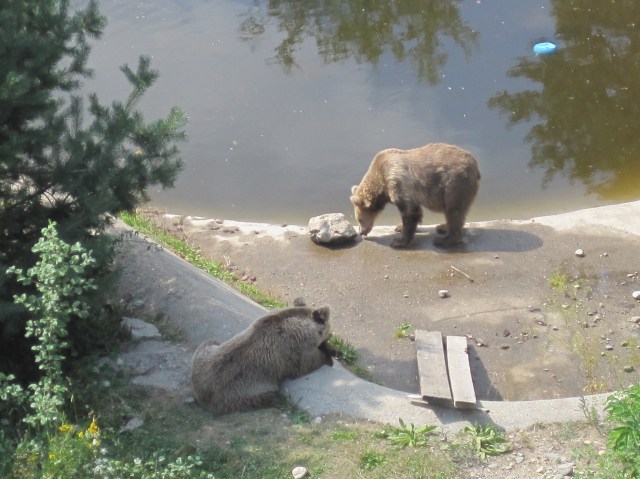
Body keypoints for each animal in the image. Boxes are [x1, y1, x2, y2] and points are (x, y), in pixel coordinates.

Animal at [190, 298, 335, 414]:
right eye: (329, 328)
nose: (330, 335)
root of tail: (201, 394)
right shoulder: (292, 349)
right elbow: (305, 364)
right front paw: (328, 356)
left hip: (205, 353)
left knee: (210, 341)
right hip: (242, 391)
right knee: (267, 396)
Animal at [350, 142, 480, 248]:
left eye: (359, 219)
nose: (361, 232)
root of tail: (475, 164)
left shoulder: (398, 182)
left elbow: (410, 212)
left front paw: (399, 241)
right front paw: (399, 227)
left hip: (454, 184)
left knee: (453, 211)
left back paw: (444, 239)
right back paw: (443, 227)